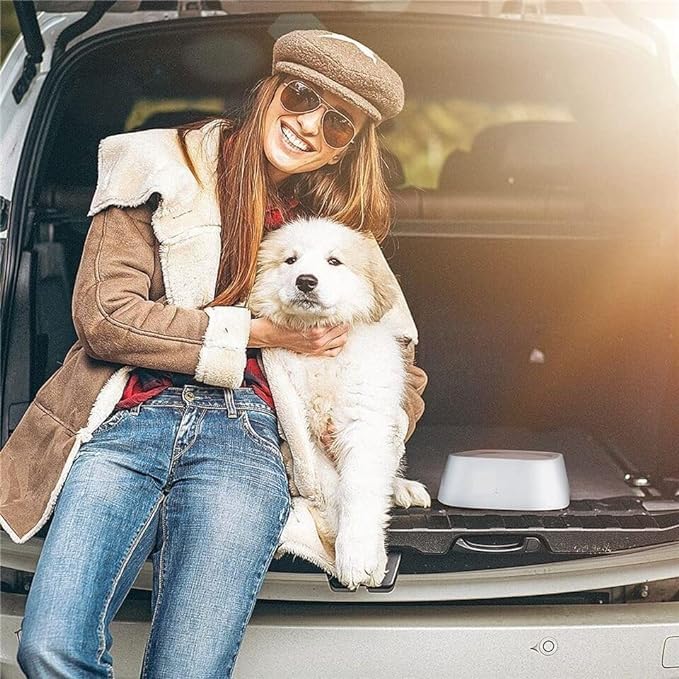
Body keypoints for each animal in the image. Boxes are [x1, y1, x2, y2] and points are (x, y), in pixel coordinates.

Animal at [250, 218, 430, 588]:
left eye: (334, 261)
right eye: (290, 260)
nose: (306, 281)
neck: (321, 358)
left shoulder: (366, 423)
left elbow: (358, 487)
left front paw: (358, 555)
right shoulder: (300, 438)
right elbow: (332, 489)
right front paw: (350, 552)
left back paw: (403, 489)